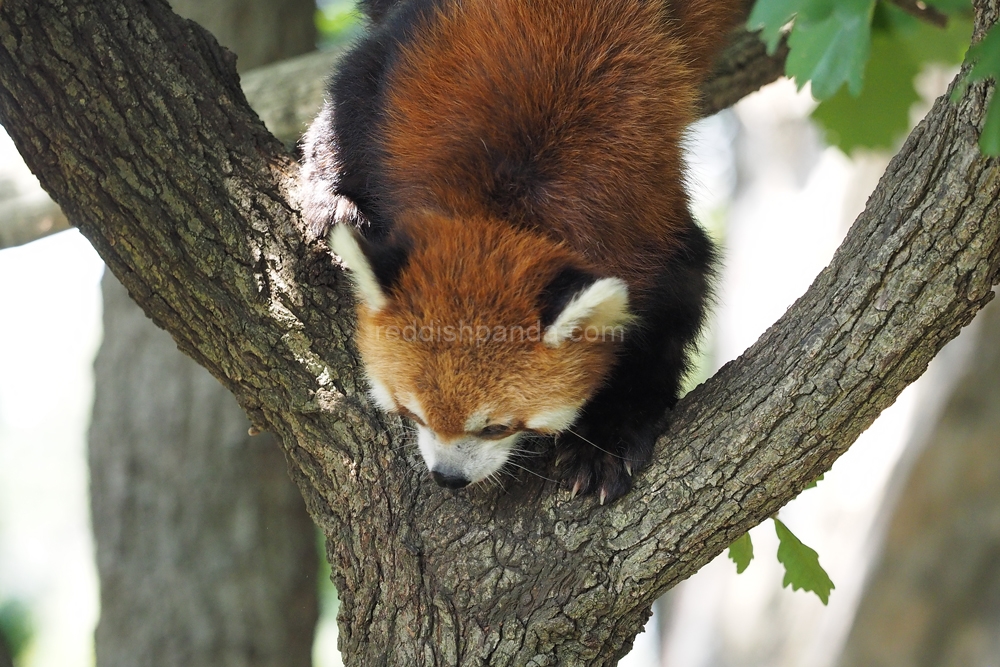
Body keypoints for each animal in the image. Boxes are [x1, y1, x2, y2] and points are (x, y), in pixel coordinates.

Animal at [300, 0, 748, 500]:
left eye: (496, 427)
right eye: (411, 411)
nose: (448, 477)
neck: (506, 212)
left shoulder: (650, 222)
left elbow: (668, 318)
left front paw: (607, 437)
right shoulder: (410, 67)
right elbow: (355, 90)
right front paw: (330, 197)